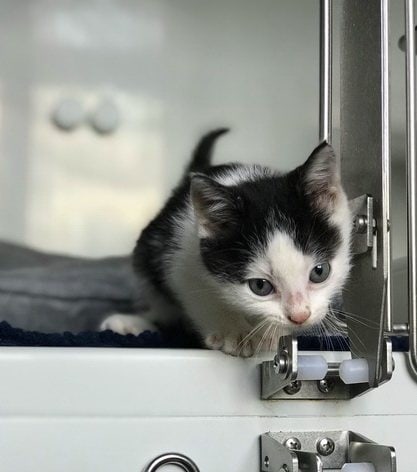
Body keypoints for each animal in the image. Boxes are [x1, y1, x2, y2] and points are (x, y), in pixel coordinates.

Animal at [100, 129, 351, 356]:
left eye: (320, 272)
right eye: (260, 286)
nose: (300, 316)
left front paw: (272, 333)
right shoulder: (179, 256)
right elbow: (197, 292)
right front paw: (233, 332)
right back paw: (129, 324)